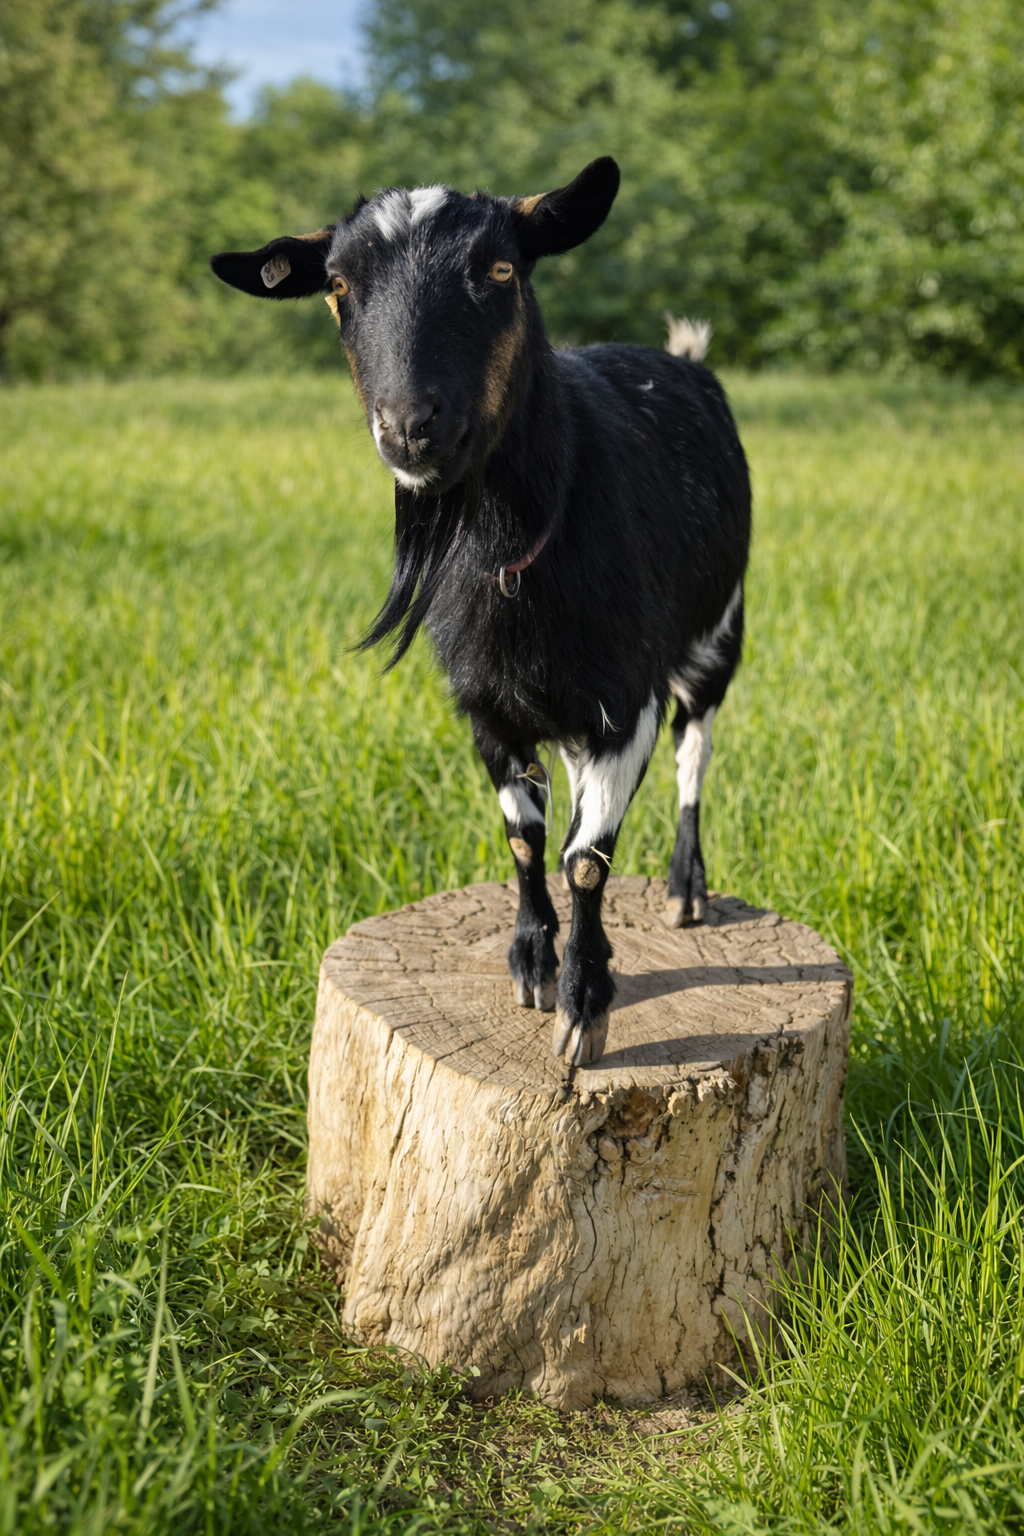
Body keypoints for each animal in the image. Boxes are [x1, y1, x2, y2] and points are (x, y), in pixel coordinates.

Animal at [211, 157, 751, 1067]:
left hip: (720, 631)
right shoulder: (485, 705)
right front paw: (533, 961)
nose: (409, 426)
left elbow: (586, 859)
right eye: (338, 287)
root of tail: (681, 359)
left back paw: (686, 889)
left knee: (695, 750)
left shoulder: (625, 699)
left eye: (500, 270)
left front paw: (583, 1006)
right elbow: (527, 838)